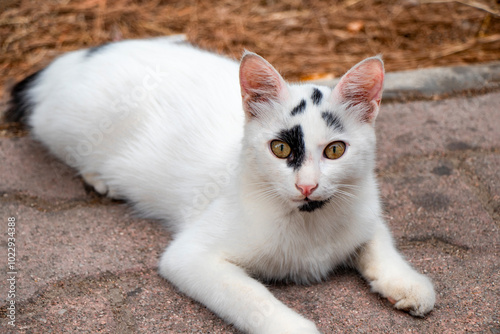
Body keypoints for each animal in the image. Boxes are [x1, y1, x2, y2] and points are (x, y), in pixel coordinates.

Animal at [5, 38, 436, 334]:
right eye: (280, 148)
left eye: (335, 150)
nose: (307, 186)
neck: (308, 220)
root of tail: (70, 60)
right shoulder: (189, 258)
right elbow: (250, 296)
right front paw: (294, 327)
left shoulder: (364, 205)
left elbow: (379, 242)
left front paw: (408, 284)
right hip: (70, 131)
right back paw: (100, 179)